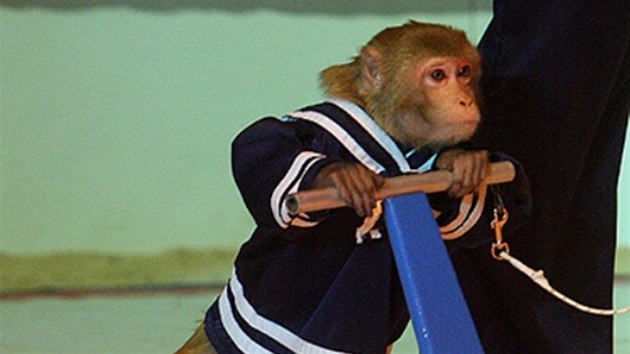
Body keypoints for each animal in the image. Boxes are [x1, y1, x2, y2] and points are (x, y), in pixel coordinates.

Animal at [175, 20, 532, 354]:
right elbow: (263, 141)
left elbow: (508, 199)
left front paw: (459, 160)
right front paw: (334, 175)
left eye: (463, 72)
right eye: (438, 75)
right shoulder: (323, 126)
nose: (464, 100)